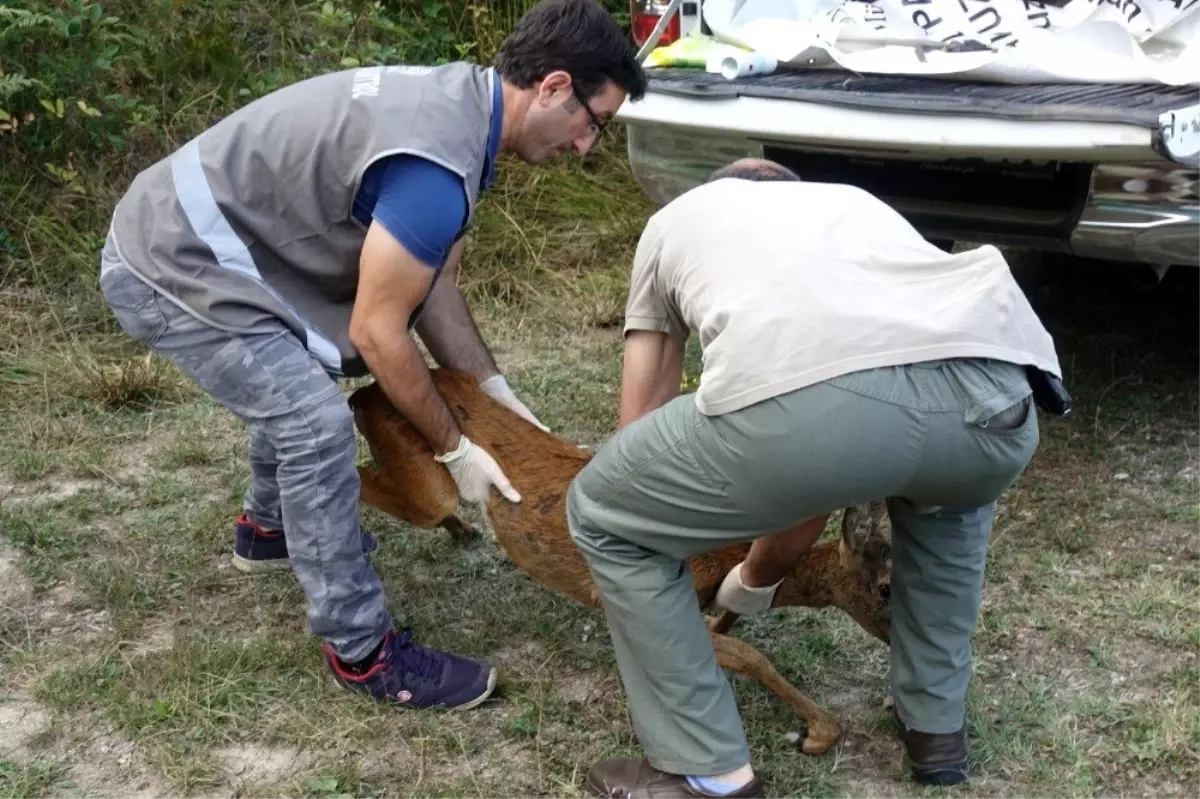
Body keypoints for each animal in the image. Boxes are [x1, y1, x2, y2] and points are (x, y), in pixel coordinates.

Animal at [348, 367, 892, 753]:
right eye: (887, 587)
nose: (897, 639)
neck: (730, 553)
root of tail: (368, 393)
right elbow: (749, 655)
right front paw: (817, 733)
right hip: (423, 479)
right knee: (359, 475)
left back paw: (462, 531)